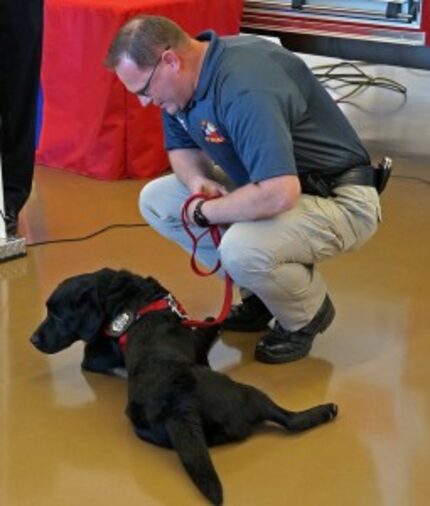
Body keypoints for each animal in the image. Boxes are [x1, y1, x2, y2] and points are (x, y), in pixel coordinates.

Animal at [31, 268, 340, 502]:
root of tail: (180, 407)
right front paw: (214, 319)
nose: (32, 340)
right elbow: (208, 325)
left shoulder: (94, 355)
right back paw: (325, 410)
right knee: (292, 420)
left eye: (56, 314)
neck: (123, 297)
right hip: (250, 392)